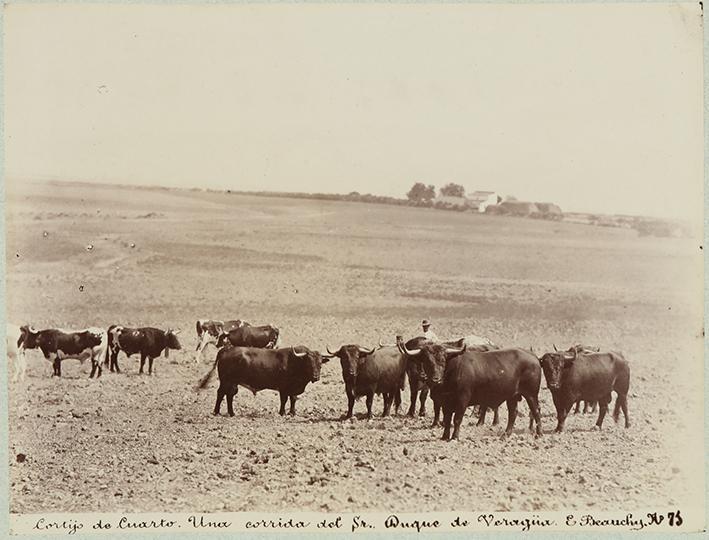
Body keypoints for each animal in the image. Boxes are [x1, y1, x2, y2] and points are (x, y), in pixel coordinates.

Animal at [194, 346, 326, 418]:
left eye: (320, 363)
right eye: (309, 363)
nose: (316, 377)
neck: (295, 361)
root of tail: (226, 349)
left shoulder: (293, 388)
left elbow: (293, 399)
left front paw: (292, 413)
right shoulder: (283, 387)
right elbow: (284, 400)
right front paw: (282, 412)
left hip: (232, 383)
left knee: (229, 395)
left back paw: (231, 413)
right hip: (226, 381)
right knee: (221, 393)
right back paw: (217, 412)